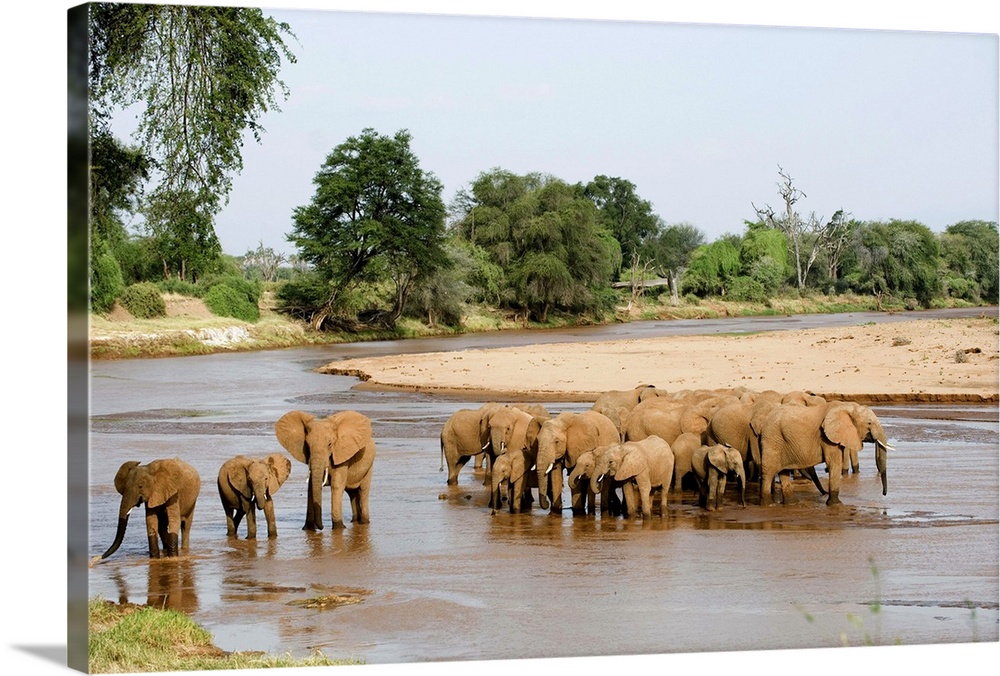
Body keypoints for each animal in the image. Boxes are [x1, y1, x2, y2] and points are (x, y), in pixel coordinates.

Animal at [756, 402, 892, 508]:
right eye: (869, 423)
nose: (884, 494)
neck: (847, 406)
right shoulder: (827, 438)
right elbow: (834, 463)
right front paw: (836, 504)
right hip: (772, 439)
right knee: (768, 472)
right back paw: (769, 504)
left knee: (783, 471)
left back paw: (792, 503)